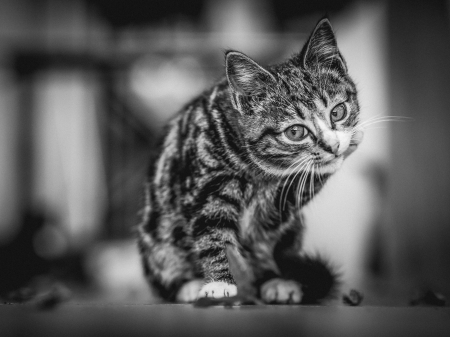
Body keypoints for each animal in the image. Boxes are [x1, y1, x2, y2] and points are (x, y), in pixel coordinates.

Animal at [136, 17, 362, 304]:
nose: (333, 145)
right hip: (157, 236)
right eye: (295, 132)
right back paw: (189, 286)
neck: (256, 169)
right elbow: (214, 232)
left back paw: (275, 281)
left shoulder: (276, 210)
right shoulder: (206, 184)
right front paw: (220, 282)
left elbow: (275, 213)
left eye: (338, 111)